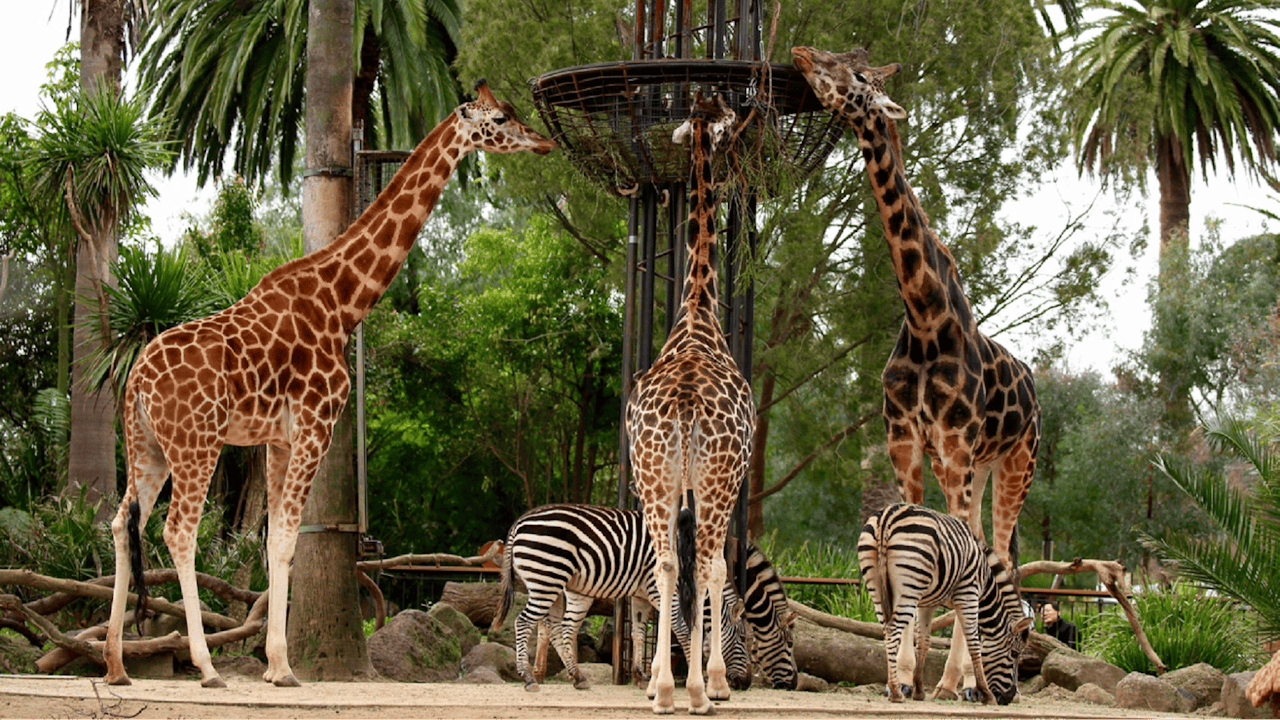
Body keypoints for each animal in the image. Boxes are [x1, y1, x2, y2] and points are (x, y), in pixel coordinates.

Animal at [102, 80, 555, 689]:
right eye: (502, 117)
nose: (544, 141)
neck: (342, 303)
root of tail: (135, 383)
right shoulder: (317, 424)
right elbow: (287, 539)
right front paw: (282, 667)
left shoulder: (277, 439)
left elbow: (273, 540)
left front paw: (275, 665)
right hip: (197, 443)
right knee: (178, 531)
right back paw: (205, 667)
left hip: (148, 447)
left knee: (120, 522)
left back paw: (115, 665)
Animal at [791, 46, 1041, 700]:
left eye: (858, 75)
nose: (802, 54)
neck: (927, 317)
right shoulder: (904, 444)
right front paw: (907, 675)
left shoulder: (953, 447)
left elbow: (962, 558)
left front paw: (944, 680)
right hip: (981, 468)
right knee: (989, 550)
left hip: (1014, 466)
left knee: (999, 552)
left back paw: (971, 680)